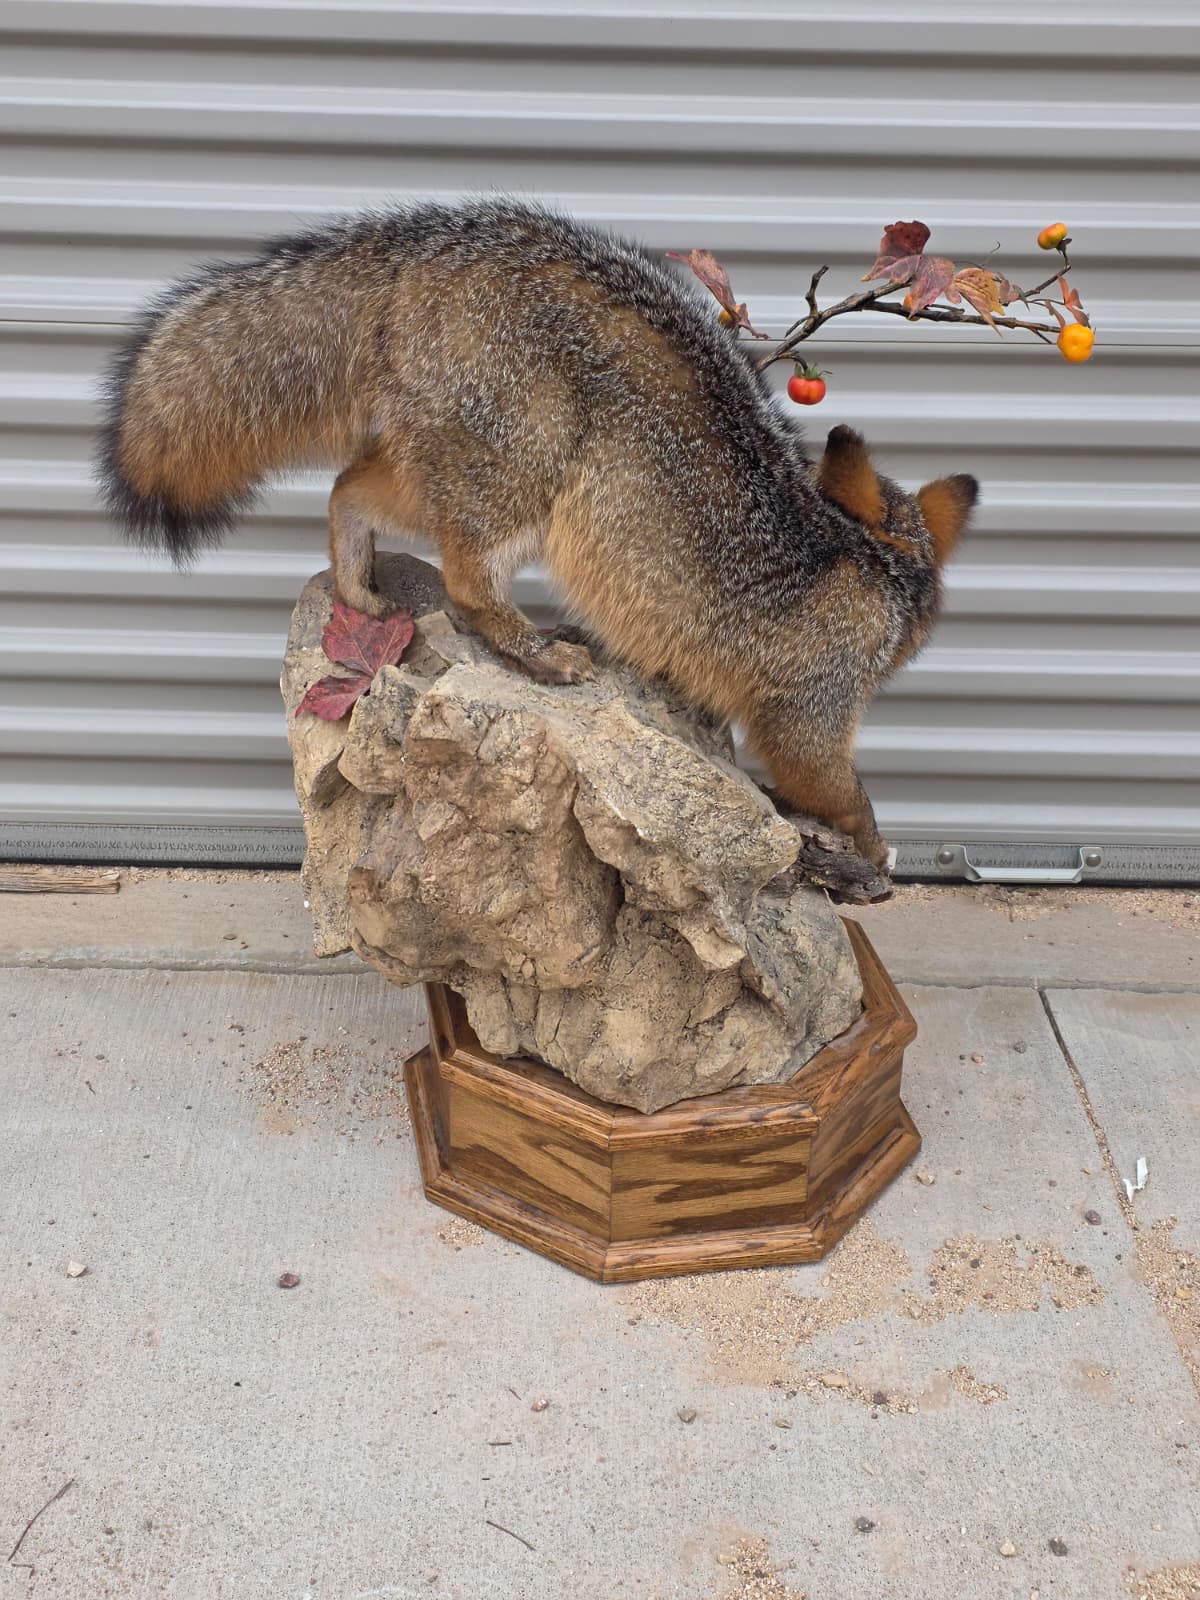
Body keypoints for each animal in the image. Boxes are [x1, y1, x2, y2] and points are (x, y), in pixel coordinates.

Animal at [98, 196, 978, 871]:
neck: (865, 561)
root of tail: (433, 242)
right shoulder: (806, 719)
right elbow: (846, 792)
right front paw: (875, 852)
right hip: (526, 489)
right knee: (461, 583)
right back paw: (537, 652)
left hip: (440, 475)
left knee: (347, 489)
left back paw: (356, 588)